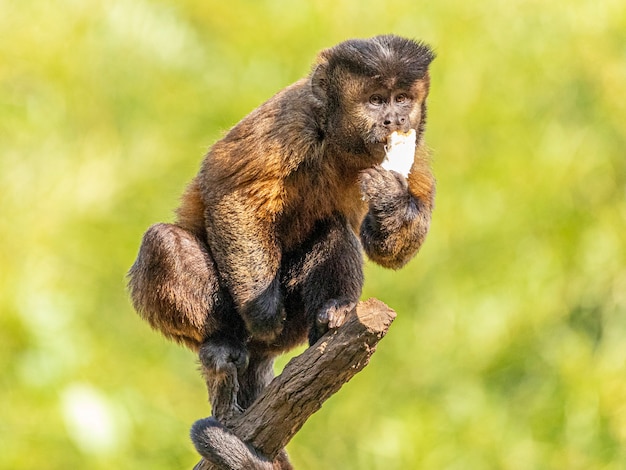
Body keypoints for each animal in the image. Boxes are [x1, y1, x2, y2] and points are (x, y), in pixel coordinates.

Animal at [128, 35, 434, 468]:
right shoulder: (291, 117)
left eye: (402, 99)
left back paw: (333, 312)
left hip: (295, 326)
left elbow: (394, 251)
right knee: (162, 242)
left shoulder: (415, 143)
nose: (395, 120)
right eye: (376, 100)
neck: (340, 141)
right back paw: (221, 343)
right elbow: (230, 191)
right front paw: (264, 310)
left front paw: (390, 199)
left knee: (333, 228)